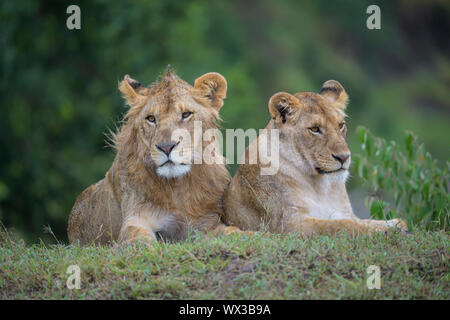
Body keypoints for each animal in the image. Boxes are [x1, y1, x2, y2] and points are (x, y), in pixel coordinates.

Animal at [67, 69, 243, 245]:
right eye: (151, 118)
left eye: (186, 114)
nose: (166, 147)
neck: (177, 188)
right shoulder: (136, 217)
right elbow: (136, 236)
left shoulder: (205, 223)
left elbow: (230, 232)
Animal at [223, 80, 410, 235]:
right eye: (314, 129)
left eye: (341, 125)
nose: (344, 157)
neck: (321, 187)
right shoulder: (288, 224)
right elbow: (340, 225)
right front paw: (386, 229)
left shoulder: (345, 212)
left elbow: (360, 221)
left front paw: (394, 224)